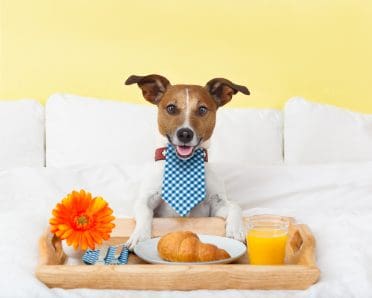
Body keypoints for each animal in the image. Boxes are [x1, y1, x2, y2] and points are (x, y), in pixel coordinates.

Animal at [125, 74, 250, 249]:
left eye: (202, 109)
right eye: (171, 108)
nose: (185, 134)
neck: (184, 164)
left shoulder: (217, 206)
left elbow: (235, 206)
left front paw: (236, 230)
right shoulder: (146, 199)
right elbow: (143, 211)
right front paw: (140, 236)